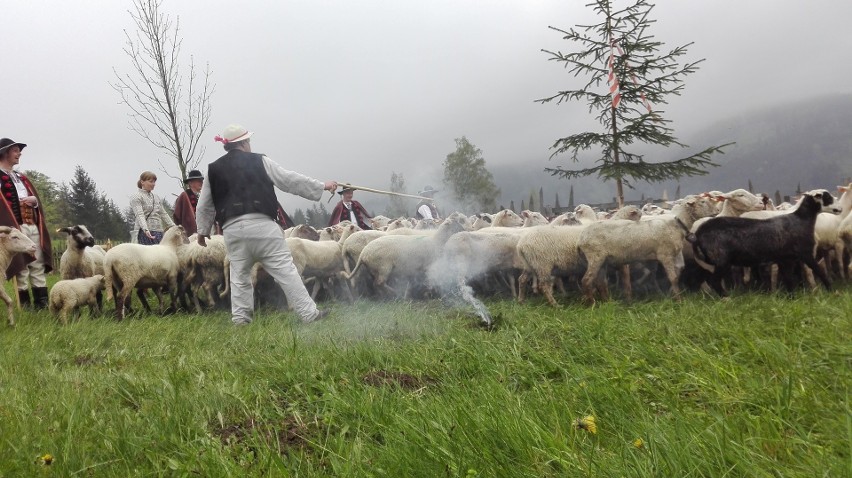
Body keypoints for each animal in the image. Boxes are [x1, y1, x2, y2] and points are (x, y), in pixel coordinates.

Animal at [688, 190, 836, 296]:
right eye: (828, 198)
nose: (839, 209)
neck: (801, 219)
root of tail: (697, 234)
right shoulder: (805, 253)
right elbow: (818, 270)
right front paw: (831, 291)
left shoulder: (786, 259)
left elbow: (789, 279)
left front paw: (791, 297)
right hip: (720, 259)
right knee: (714, 281)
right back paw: (727, 298)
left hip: (709, 262)